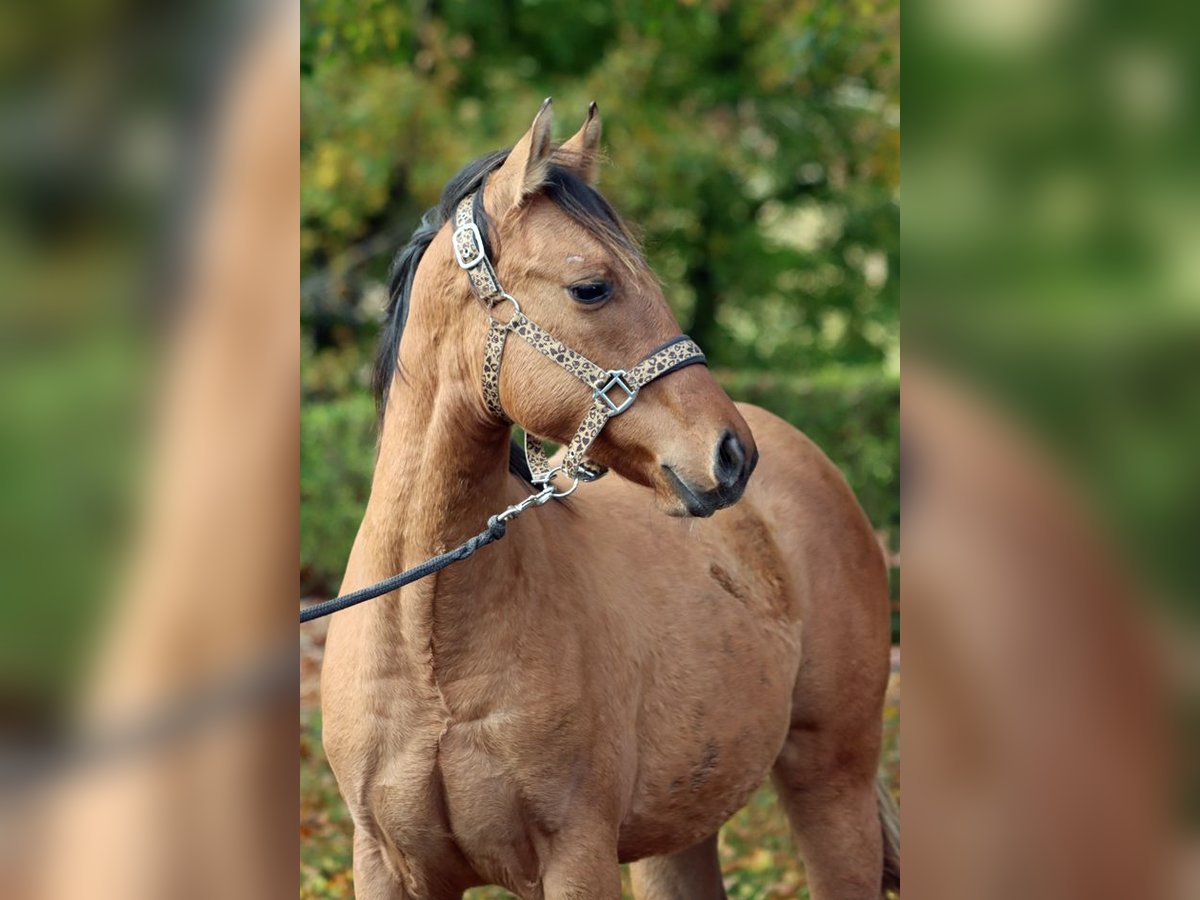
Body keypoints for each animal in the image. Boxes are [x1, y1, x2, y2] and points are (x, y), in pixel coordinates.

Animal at [319, 99, 898, 899]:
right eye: (592, 287)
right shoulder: (385, 864)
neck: (426, 640)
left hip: (832, 784)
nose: (732, 455)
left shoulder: (575, 855)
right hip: (679, 833)